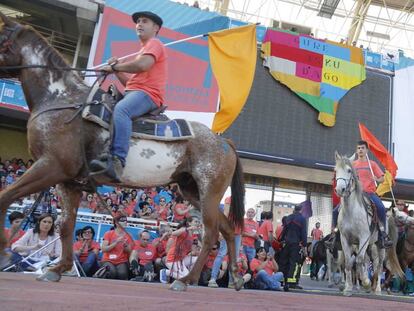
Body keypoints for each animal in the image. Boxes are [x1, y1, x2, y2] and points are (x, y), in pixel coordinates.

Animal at [0, 14, 246, 292]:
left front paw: (5, 251)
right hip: (192, 191)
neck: (60, 100)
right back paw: (235, 277)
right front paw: (58, 268)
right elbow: (65, 225)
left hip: (209, 191)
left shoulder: (50, 166)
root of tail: (223, 141)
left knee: (212, 233)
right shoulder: (67, 181)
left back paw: (185, 280)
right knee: (228, 229)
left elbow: (6, 196)